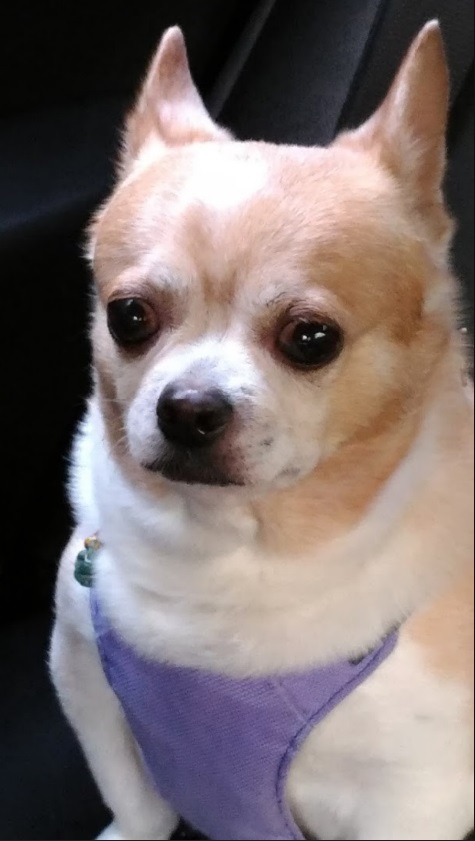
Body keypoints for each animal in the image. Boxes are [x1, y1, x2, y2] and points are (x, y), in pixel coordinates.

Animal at [50, 21, 474, 841]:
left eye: (311, 339)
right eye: (128, 316)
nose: (187, 407)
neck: (226, 556)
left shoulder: (413, 798)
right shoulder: (85, 679)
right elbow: (134, 801)